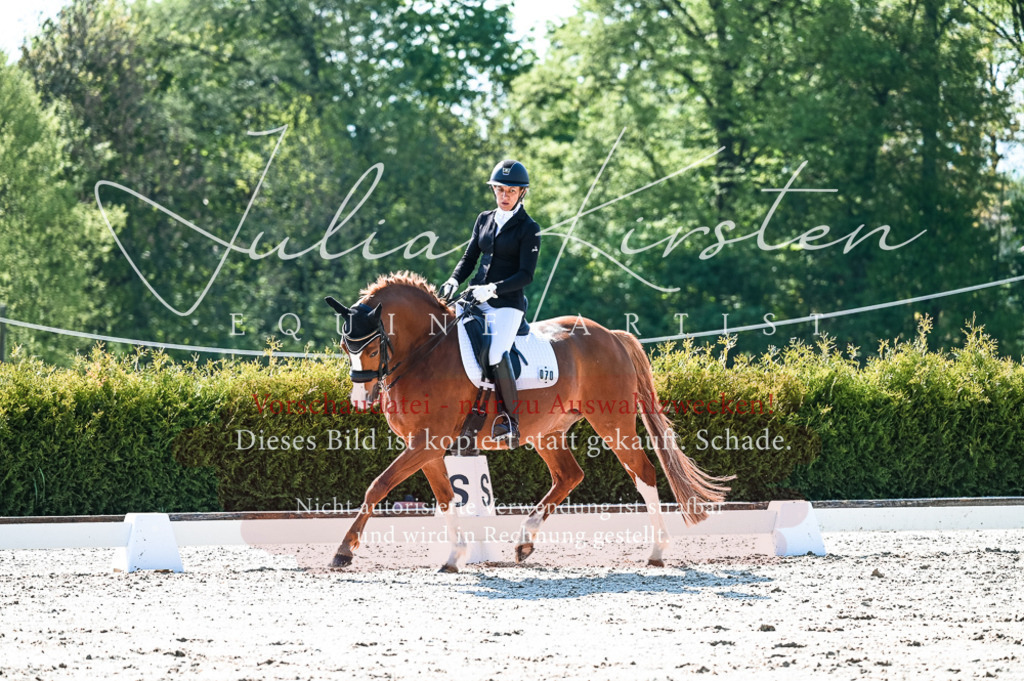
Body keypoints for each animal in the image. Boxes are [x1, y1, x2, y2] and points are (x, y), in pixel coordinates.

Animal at [325, 271, 730, 572]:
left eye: (372, 347)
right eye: (346, 346)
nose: (360, 398)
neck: (425, 351)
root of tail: (611, 336)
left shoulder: (426, 443)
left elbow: (377, 486)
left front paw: (344, 551)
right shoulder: (426, 446)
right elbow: (446, 498)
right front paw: (454, 557)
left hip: (612, 422)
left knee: (642, 472)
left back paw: (658, 552)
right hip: (547, 432)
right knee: (569, 475)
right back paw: (524, 541)